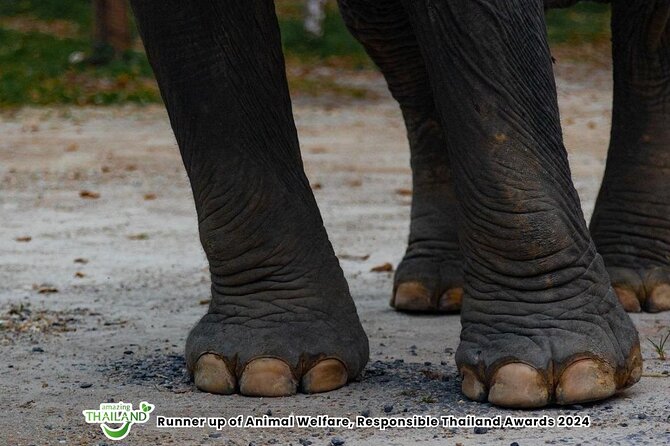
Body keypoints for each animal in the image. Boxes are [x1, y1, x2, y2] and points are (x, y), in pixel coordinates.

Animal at [128, 0, 669, 408]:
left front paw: (560, 377)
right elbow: (204, 52)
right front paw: (260, 367)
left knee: (648, 39)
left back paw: (636, 287)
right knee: (400, 49)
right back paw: (431, 292)